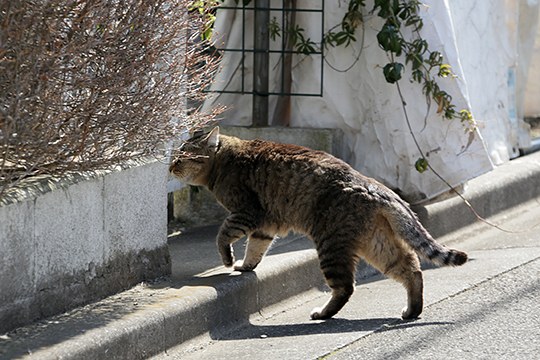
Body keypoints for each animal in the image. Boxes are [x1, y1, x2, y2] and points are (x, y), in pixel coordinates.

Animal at [171, 128, 466, 320]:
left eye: (182, 157)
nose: (170, 166)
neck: (224, 160)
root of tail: (375, 186)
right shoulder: (265, 224)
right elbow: (256, 248)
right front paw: (245, 265)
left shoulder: (246, 213)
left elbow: (223, 235)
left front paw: (229, 259)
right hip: (377, 244)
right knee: (412, 269)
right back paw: (412, 311)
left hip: (331, 244)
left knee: (346, 287)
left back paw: (323, 313)